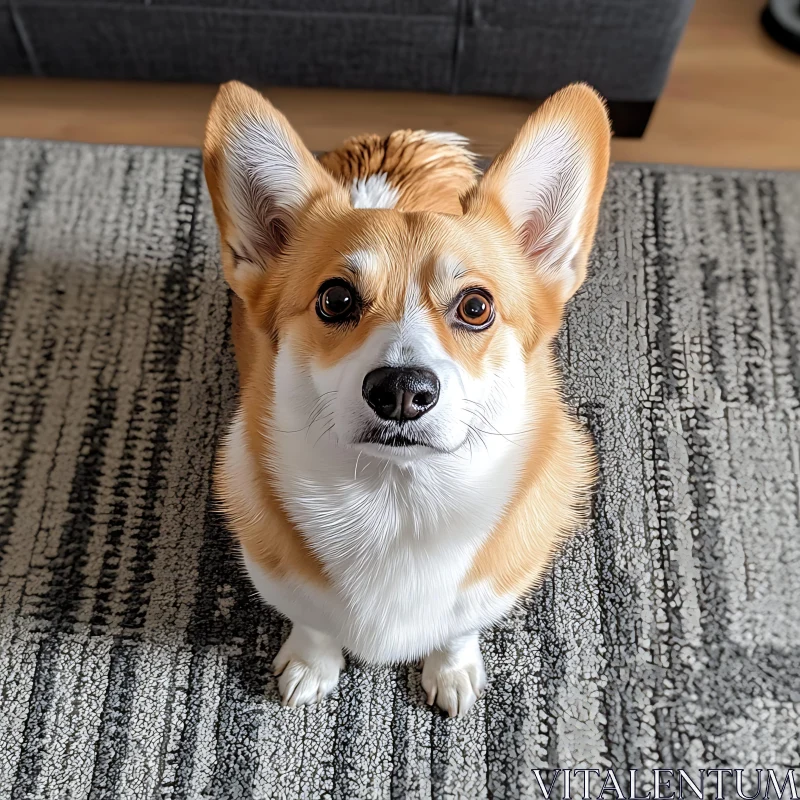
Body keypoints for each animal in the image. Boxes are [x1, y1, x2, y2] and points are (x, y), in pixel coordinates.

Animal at [203, 81, 608, 720]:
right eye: (336, 299)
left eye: (475, 307)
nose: (399, 391)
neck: (396, 505)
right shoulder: (281, 578)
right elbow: (313, 624)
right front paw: (311, 667)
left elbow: (458, 630)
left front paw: (453, 671)